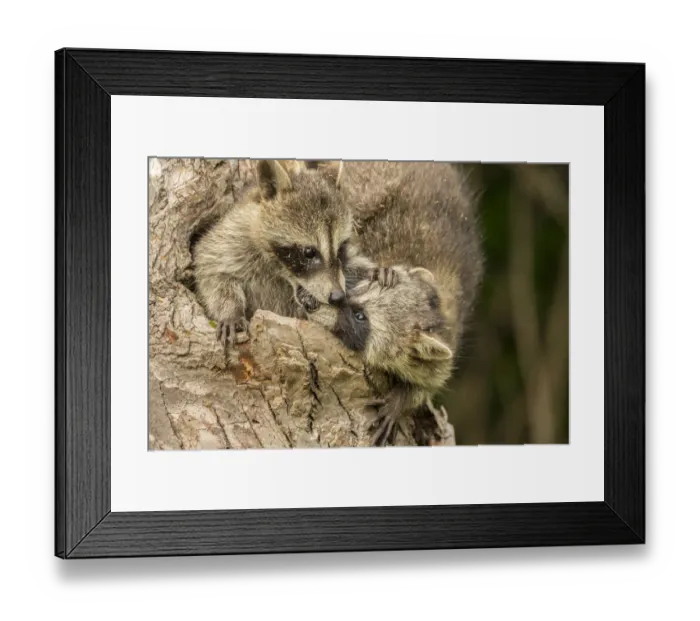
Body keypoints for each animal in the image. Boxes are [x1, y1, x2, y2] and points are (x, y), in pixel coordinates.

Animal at [193, 159, 381, 346]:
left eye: (341, 247)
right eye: (309, 252)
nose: (338, 296)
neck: (278, 272)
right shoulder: (233, 235)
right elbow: (212, 270)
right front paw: (231, 311)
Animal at [308, 161, 483, 446]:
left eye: (360, 316)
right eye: (359, 288)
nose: (313, 306)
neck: (437, 310)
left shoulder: (449, 339)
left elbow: (430, 381)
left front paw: (401, 400)